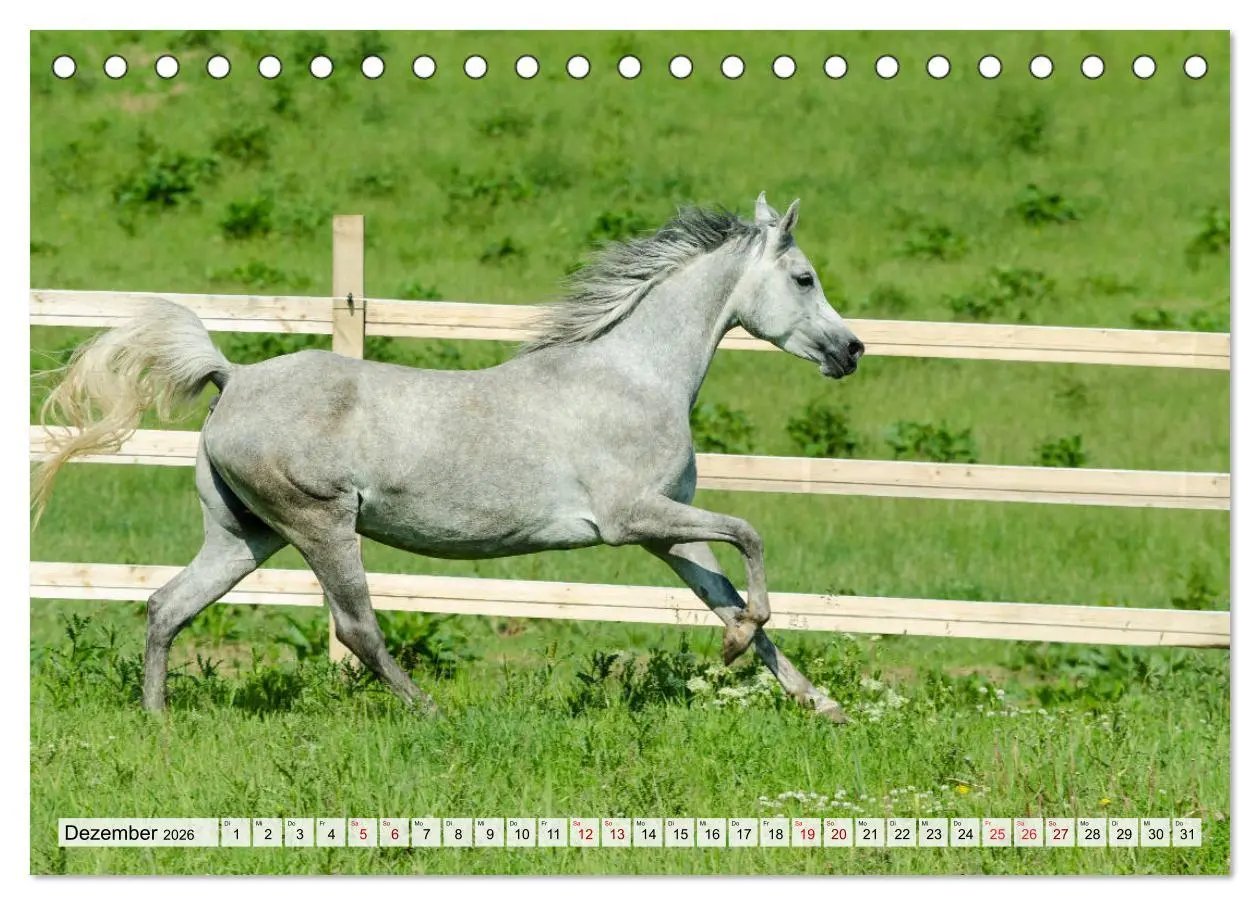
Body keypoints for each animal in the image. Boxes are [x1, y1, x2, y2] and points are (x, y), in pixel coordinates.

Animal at [33, 193, 865, 721]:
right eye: (804, 278)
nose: (851, 350)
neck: (633, 373)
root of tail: (232, 377)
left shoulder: (667, 529)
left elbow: (728, 594)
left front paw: (820, 702)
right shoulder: (634, 518)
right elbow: (751, 538)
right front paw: (739, 647)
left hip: (246, 534)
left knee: (167, 605)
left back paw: (158, 720)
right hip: (321, 524)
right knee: (356, 628)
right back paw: (431, 713)